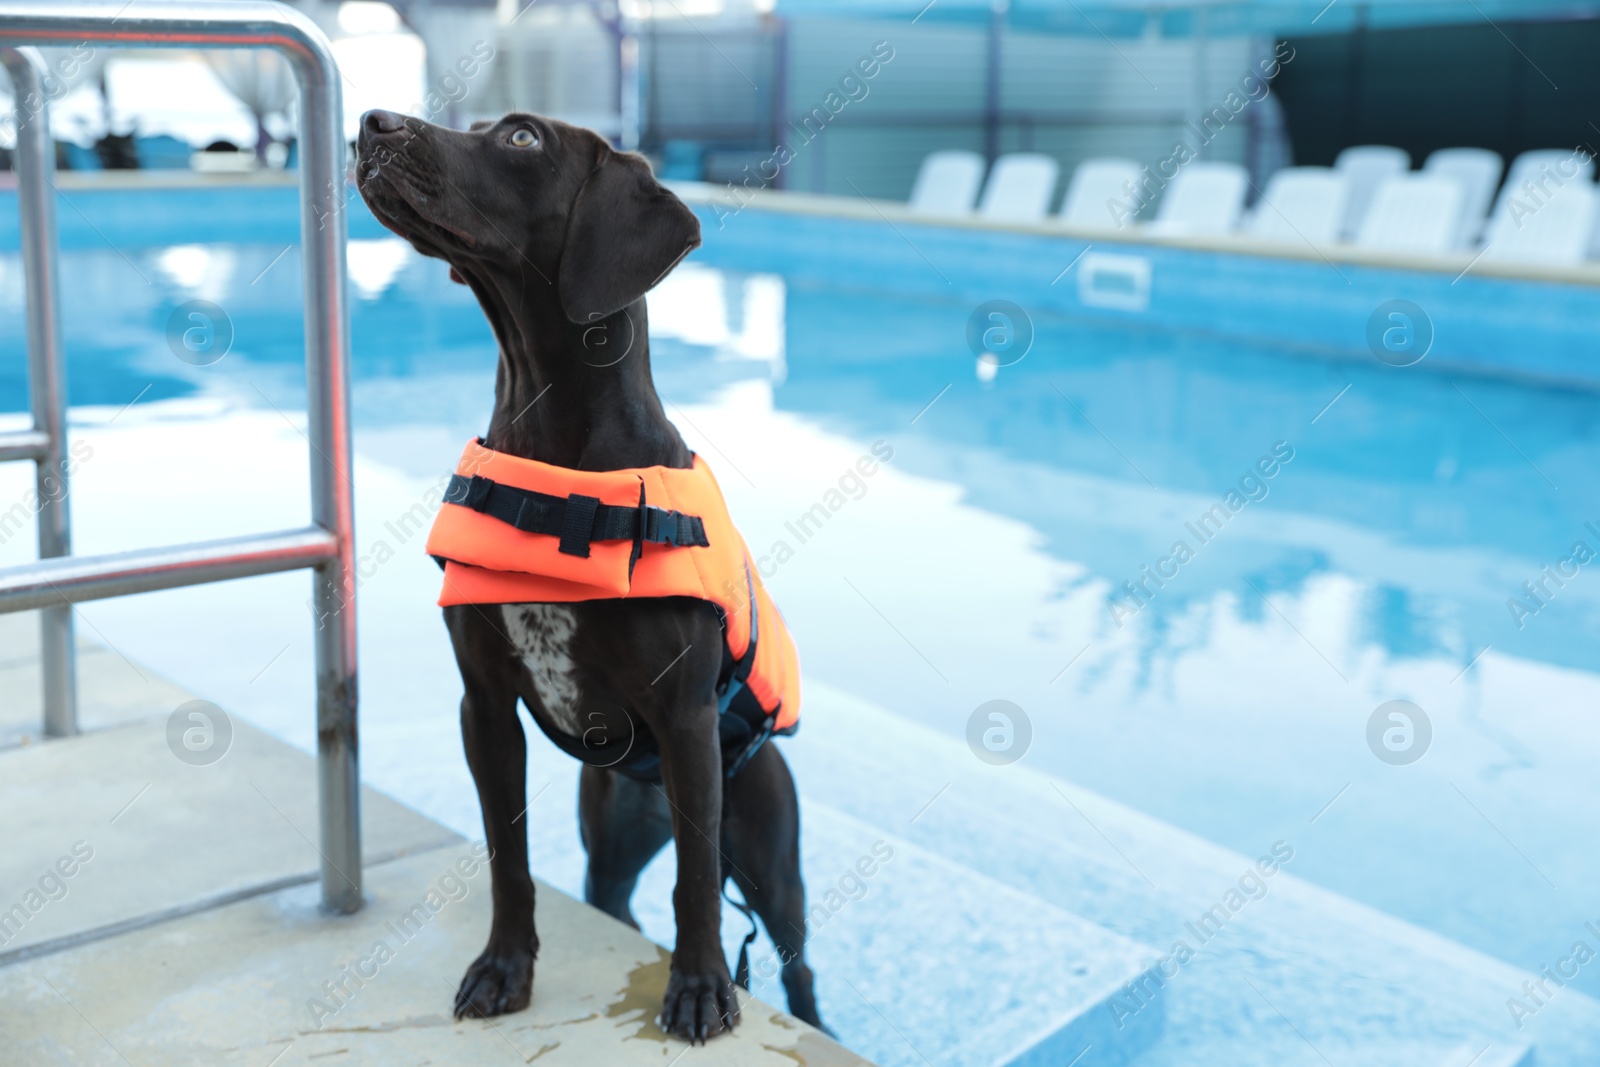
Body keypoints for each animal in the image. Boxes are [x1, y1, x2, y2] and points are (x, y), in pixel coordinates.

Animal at [352, 108, 825, 1043]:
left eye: (521, 137)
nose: (370, 122)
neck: (551, 448)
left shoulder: (684, 721)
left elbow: (694, 885)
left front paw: (701, 988)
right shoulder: (484, 707)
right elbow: (509, 856)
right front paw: (505, 968)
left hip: (768, 852)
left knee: (795, 962)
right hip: (611, 828)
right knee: (622, 896)